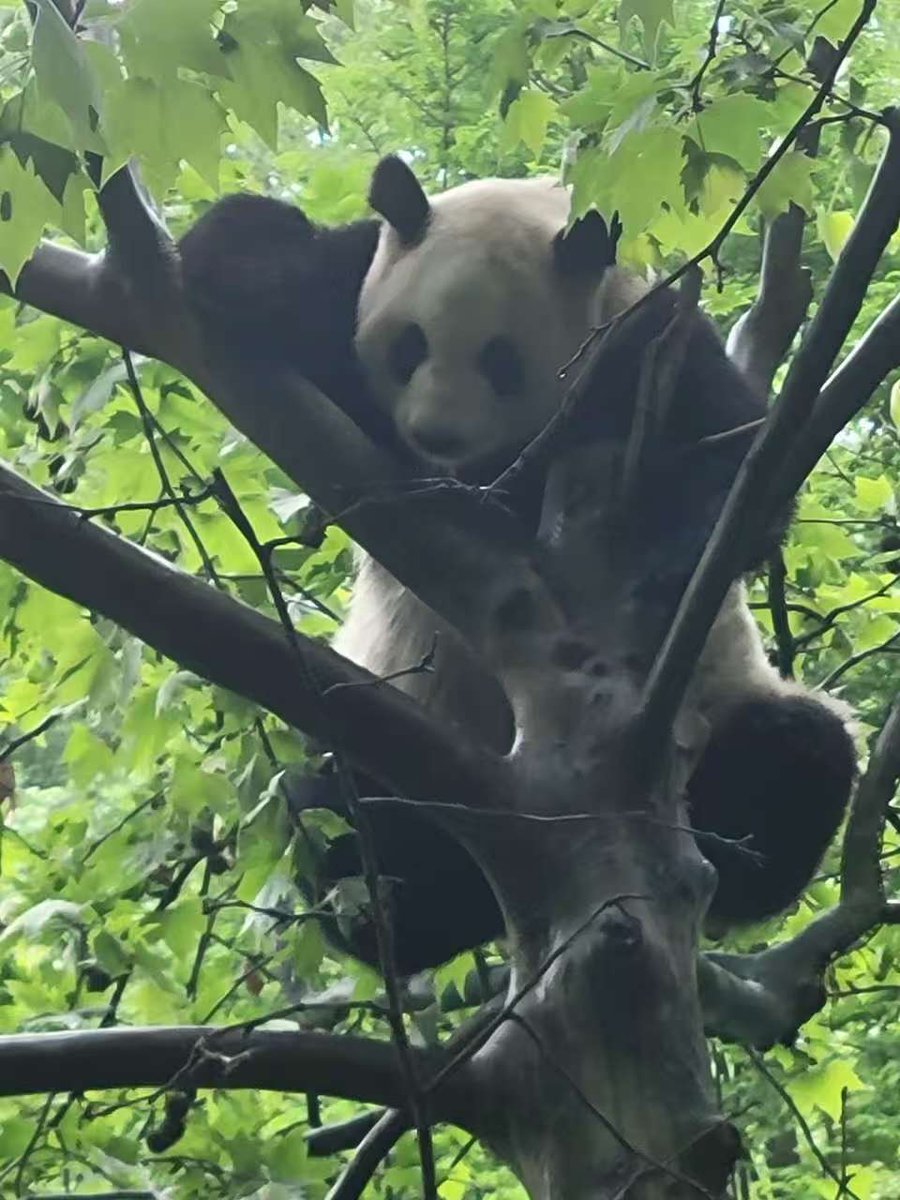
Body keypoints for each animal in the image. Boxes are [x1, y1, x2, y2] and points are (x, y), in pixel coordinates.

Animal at [180, 157, 856, 975]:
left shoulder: (649, 346)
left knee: (796, 757)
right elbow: (284, 279)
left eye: (501, 360)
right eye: (410, 346)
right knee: (344, 809)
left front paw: (670, 553)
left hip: (720, 710)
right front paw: (245, 266)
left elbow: (738, 466)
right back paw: (397, 904)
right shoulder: (360, 290)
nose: (436, 434)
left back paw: (736, 853)